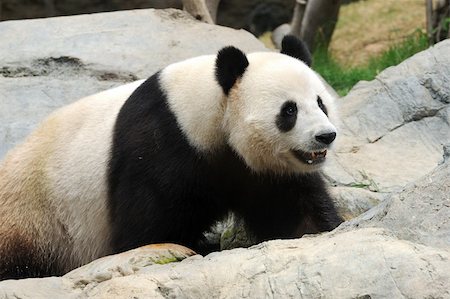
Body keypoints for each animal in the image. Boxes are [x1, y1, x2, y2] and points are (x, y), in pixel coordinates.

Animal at [0, 35, 342, 282]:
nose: (325, 136)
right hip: (34, 214)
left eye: (320, 102)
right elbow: (144, 228)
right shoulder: (161, 145)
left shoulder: (260, 171)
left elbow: (293, 209)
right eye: (289, 110)